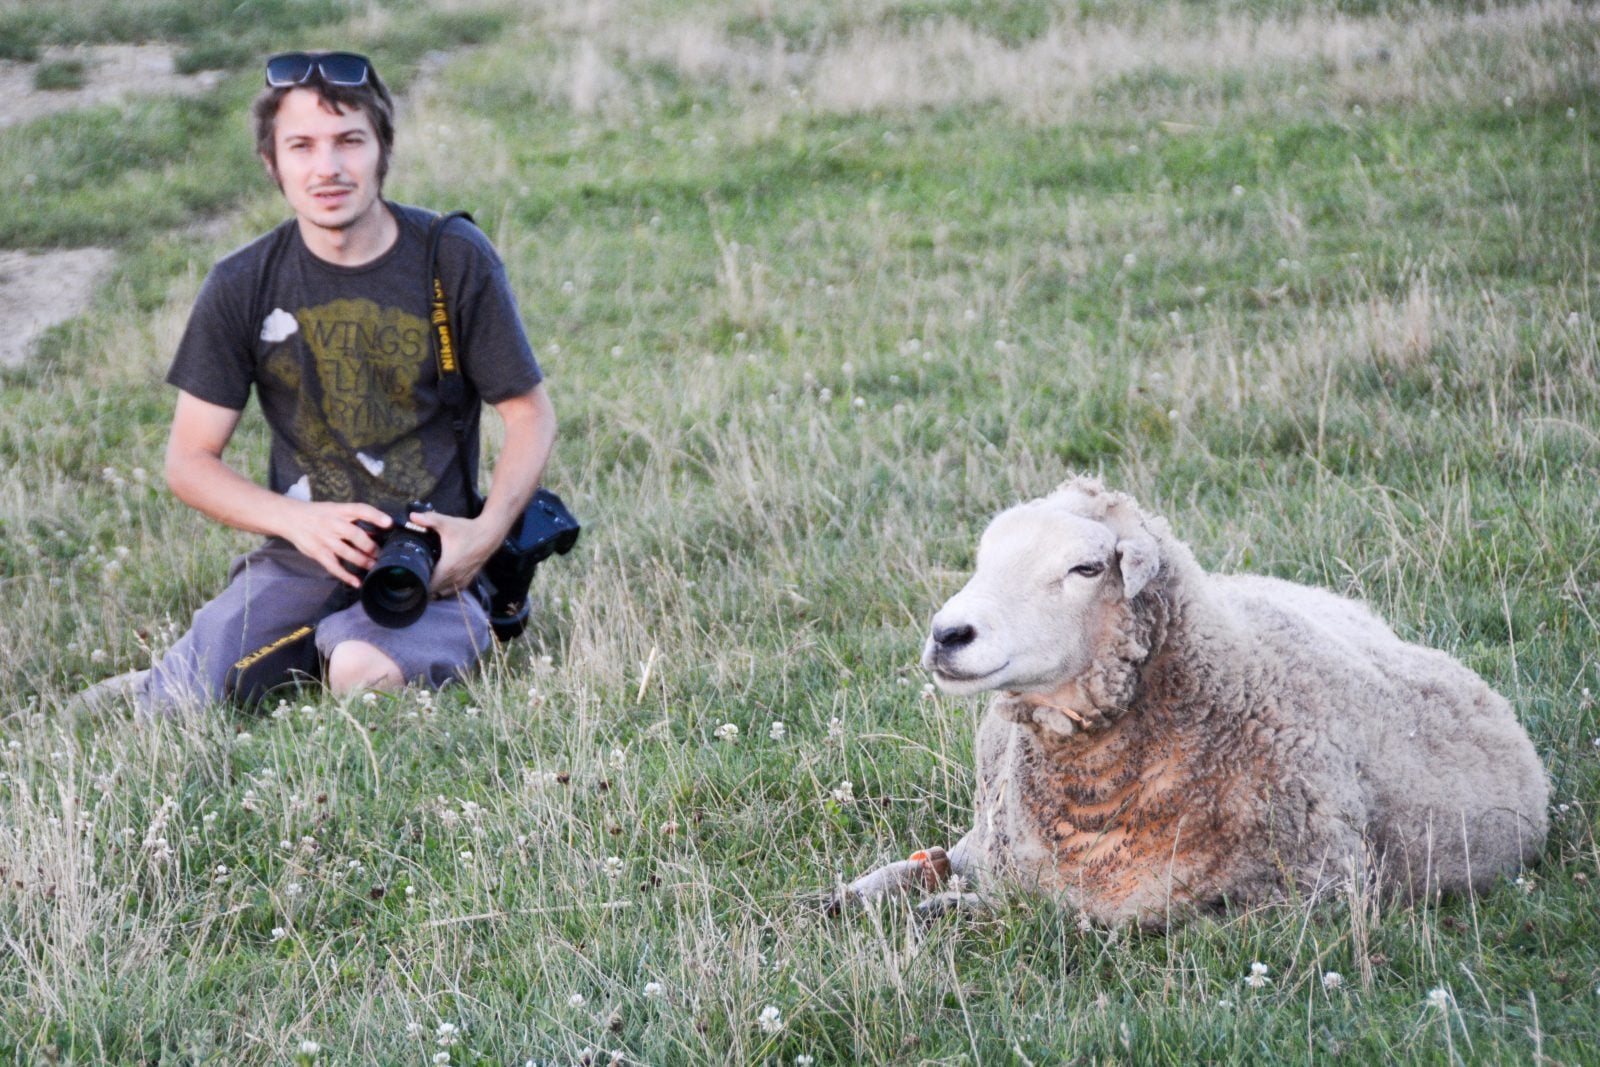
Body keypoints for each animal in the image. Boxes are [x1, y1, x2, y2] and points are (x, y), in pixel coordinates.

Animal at [840, 476, 1549, 927]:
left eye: (1086, 568)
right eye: (983, 557)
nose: (947, 634)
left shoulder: (1308, 894)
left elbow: (1094, 920)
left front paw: (953, 909)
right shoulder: (994, 850)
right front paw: (859, 895)